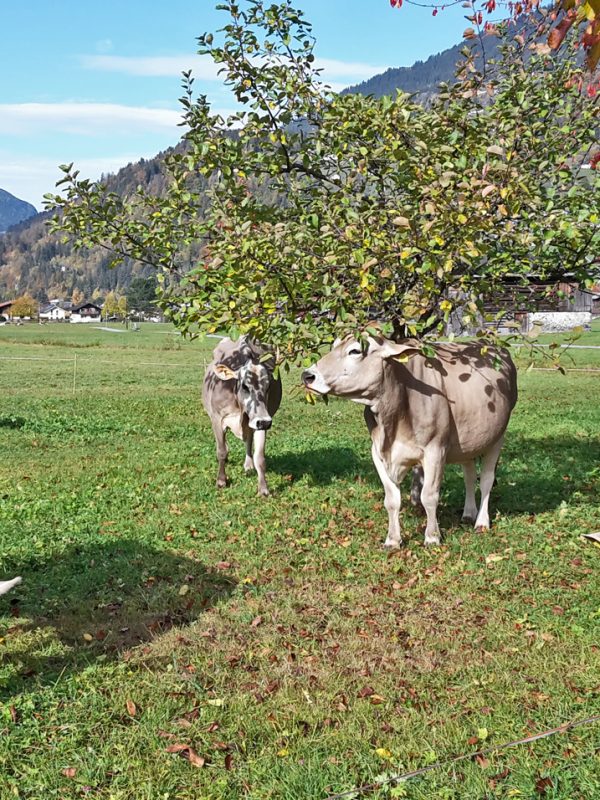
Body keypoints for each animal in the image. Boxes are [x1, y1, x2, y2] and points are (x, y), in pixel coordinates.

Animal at [302, 334, 516, 548]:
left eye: (355, 350)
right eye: (333, 346)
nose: (307, 375)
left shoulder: (435, 450)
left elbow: (429, 496)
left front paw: (432, 537)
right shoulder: (378, 452)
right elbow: (391, 499)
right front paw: (392, 540)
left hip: (498, 436)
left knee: (486, 479)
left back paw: (481, 522)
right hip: (469, 442)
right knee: (469, 475)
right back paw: (469, 513)